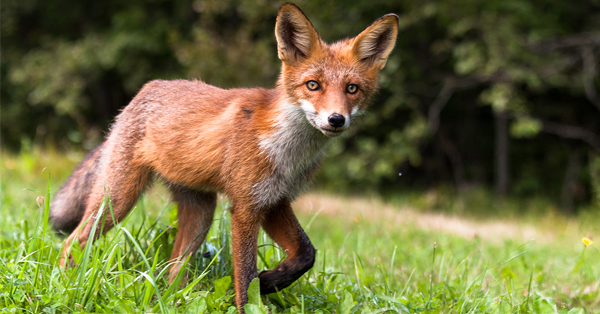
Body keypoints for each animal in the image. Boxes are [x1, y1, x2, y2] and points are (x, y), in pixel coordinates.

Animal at [50, 2, 398, 310]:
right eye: (313, 85)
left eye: (352, 89)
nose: (336, 119)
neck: (286, 152)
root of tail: (144, 91)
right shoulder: (245, 206)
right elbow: (244, 277)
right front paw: (252, 302)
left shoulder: (274, 200)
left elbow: (305, 253)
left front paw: (271, 281)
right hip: (117, 199)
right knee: (72, 243)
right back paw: (67, 286)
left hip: (200, 215)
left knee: (173, 271)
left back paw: (175, 301)